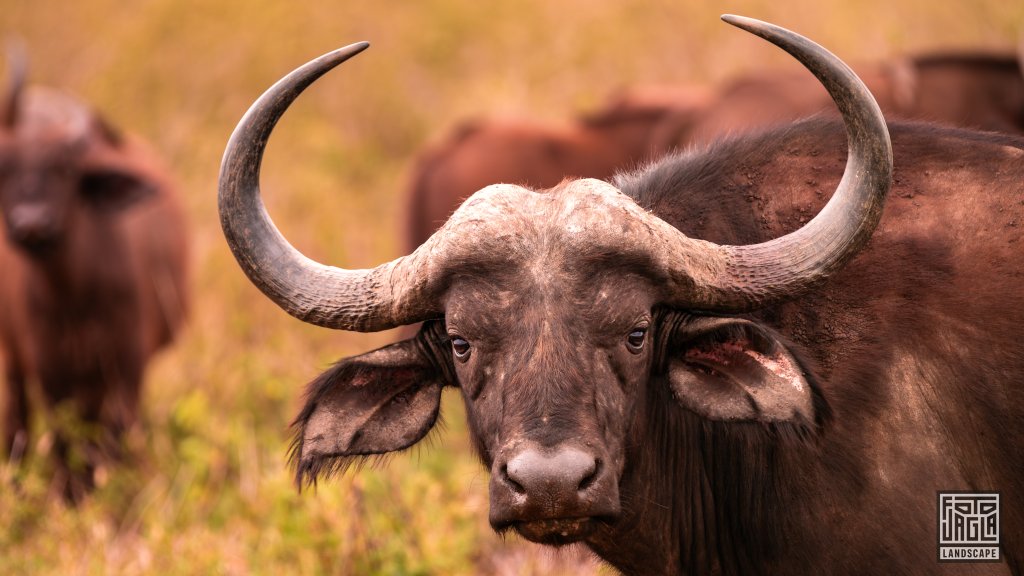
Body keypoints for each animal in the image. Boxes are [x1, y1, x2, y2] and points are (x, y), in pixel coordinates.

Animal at [0, 47, 190, 498]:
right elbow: (61, 442)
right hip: (13, 357)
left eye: (66, 170)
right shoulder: (47, 369)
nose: (31, 224)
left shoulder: (127, 364)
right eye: (3, 170)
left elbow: (113, 439)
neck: (74, 298)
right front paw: (69, 497)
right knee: (17, 421)